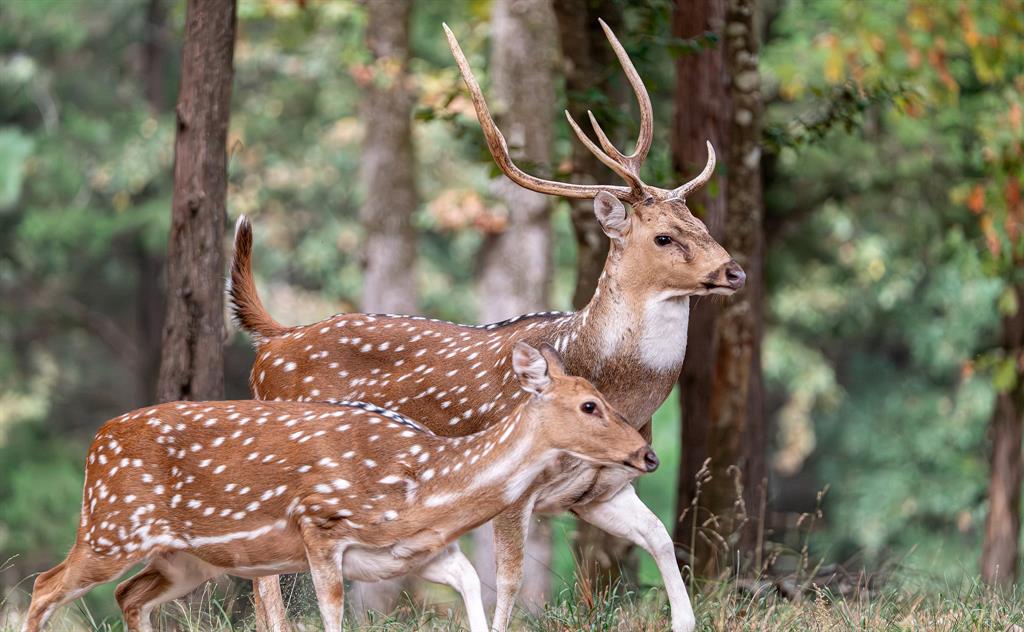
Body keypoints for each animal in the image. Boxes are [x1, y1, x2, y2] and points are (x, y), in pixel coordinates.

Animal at [21, 344, 655, 632]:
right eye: (590, 405)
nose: (647, 454)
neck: (420, 488)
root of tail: (96, 443)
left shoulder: (416, 553)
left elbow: (474, 586)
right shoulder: (320, 526)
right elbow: (331, 613)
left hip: (184, 559)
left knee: (128, 595)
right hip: (112, 527)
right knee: (44, 585)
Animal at [230, 21, 744, 632]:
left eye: (703, 224)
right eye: (664, 237)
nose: (734, 271)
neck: (614, 383)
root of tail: (273, 342)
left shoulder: (602, 491)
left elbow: (662, 540)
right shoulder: (510, 487)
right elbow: (510, 580)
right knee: (263, 578)